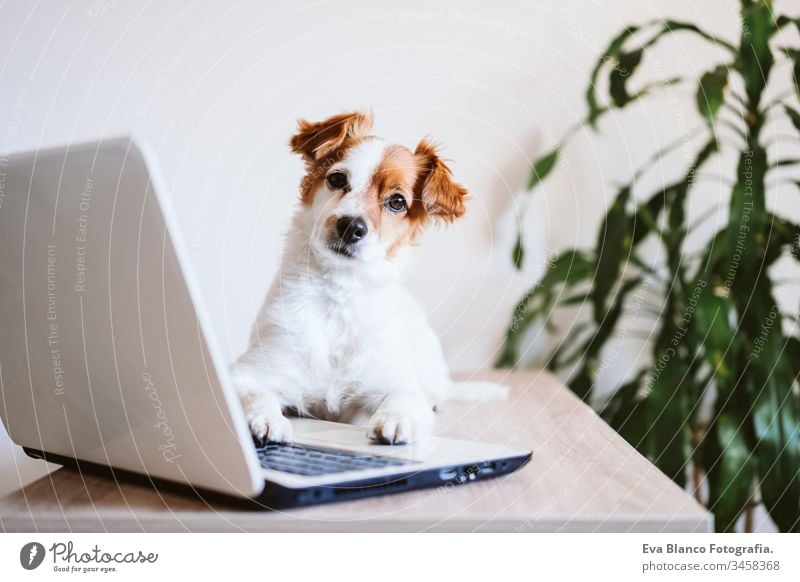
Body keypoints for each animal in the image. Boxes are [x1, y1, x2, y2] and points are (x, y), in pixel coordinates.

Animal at [233, 110, 494, 448]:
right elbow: (254, 394)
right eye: (337, 179)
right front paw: (266, 419)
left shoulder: (395, 383)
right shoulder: (247, 372)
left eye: (397, 202)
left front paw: (397, 420)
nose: (350, 227)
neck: (340, 294)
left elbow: (405, 398)